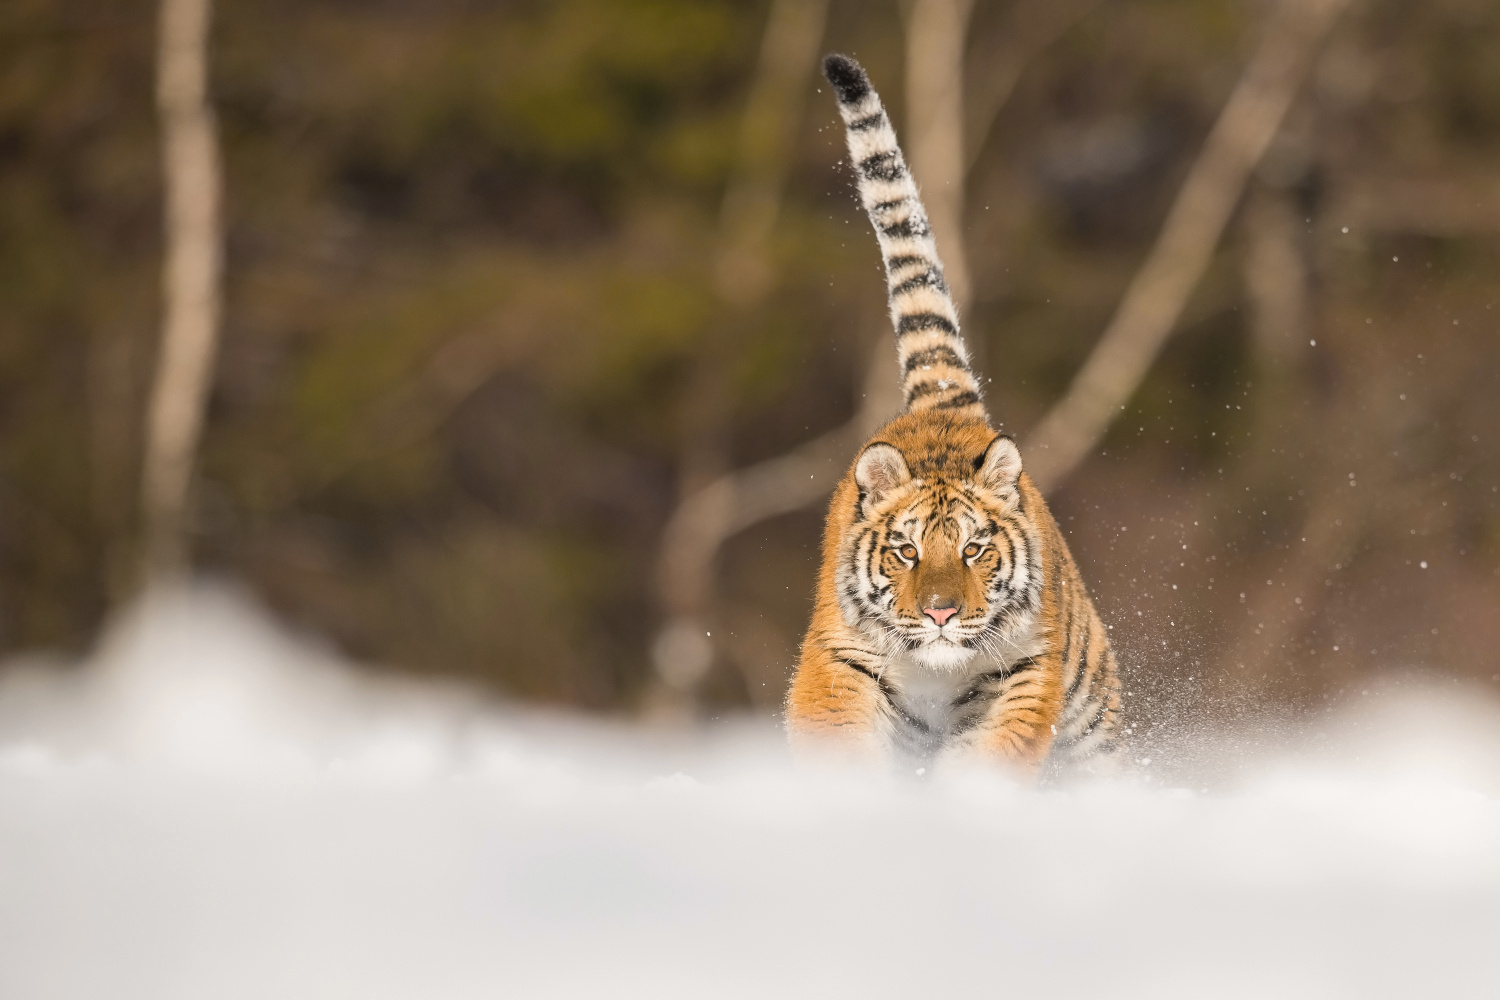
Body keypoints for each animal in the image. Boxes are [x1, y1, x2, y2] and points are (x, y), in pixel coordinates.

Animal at [786, 52, 1128, 773]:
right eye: (906, 551)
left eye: (974, 549)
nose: (942, 615)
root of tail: (944, 402)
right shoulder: (840, 662)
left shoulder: (1024, 673)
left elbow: (991, 755)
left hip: (1092, 712)